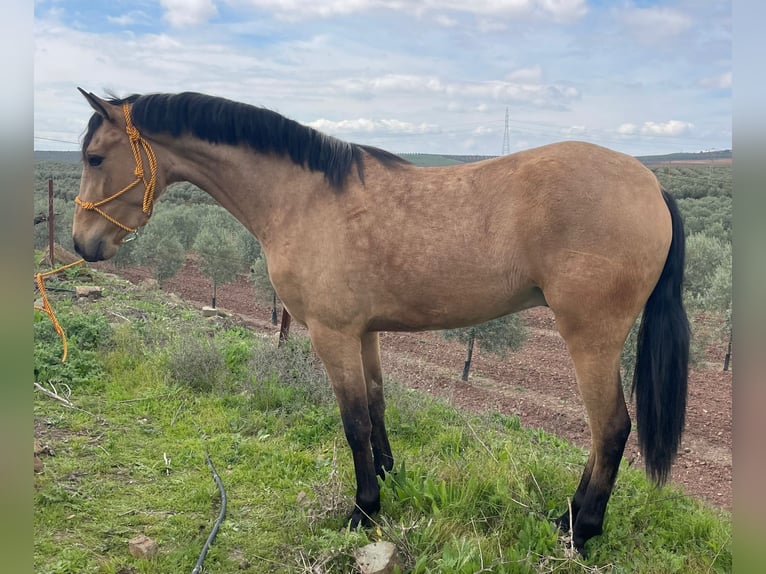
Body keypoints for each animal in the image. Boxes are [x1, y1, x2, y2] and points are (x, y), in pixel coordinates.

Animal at [72, 89, 689, 554]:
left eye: (95, 158)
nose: (82, 245)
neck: (303, 198)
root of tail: (652, 184)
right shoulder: (363, 332)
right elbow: (374, 405)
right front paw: (389, 478)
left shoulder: (332, 334)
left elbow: (352, 423)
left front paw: (364, 510)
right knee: (601, 434)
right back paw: (565, 517)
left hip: (591, 339)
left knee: (610, 429)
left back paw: (582, 531)